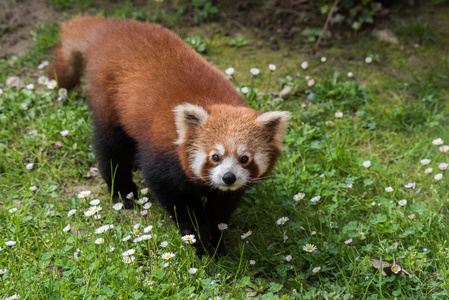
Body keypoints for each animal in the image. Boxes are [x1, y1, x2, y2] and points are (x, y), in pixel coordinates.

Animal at [47, 16, 288, 255]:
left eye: (244, 159)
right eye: (215, 156)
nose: (229, 177)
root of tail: (113, 27)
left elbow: (221, 207)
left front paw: (217, 240)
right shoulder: (163, 156)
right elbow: (174, 197)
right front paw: (197, 237)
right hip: (109, 98)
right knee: (110, 147)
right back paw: (122, 191)